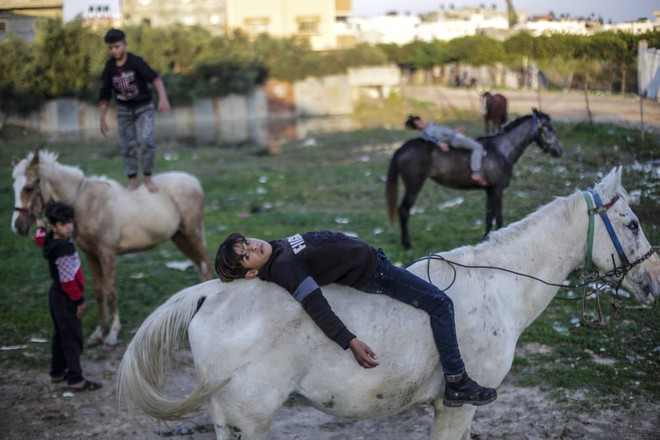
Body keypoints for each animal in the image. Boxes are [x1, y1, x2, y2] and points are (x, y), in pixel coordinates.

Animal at [10, 151, 211, 348]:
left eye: (28, 187)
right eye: (14, 187)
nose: (17, 227)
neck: (87, 205)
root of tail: (193, 181)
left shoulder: (107, 254)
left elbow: (111, 292)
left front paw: (113, 334)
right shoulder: (90, 255)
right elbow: (99, 292)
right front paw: (98, 333)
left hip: (192, 234)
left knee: (205, 264)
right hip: (179, 237)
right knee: (199, 265)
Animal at [117, 168, 656, 440]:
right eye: (631, 224)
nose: (652, 283)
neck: (498, 287)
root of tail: (208, 292)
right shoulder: (457, 406)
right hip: (249, 418)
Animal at [386, 108, 564, 249]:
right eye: (548, 128)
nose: (559, 151)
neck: (501, 150)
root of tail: (402, 149)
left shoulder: (490, 190)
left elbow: (489, 217)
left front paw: (486, 239)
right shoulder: (498, 190)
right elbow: (499, 218)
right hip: (414, 185)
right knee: (403, 210)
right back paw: (407, 244)